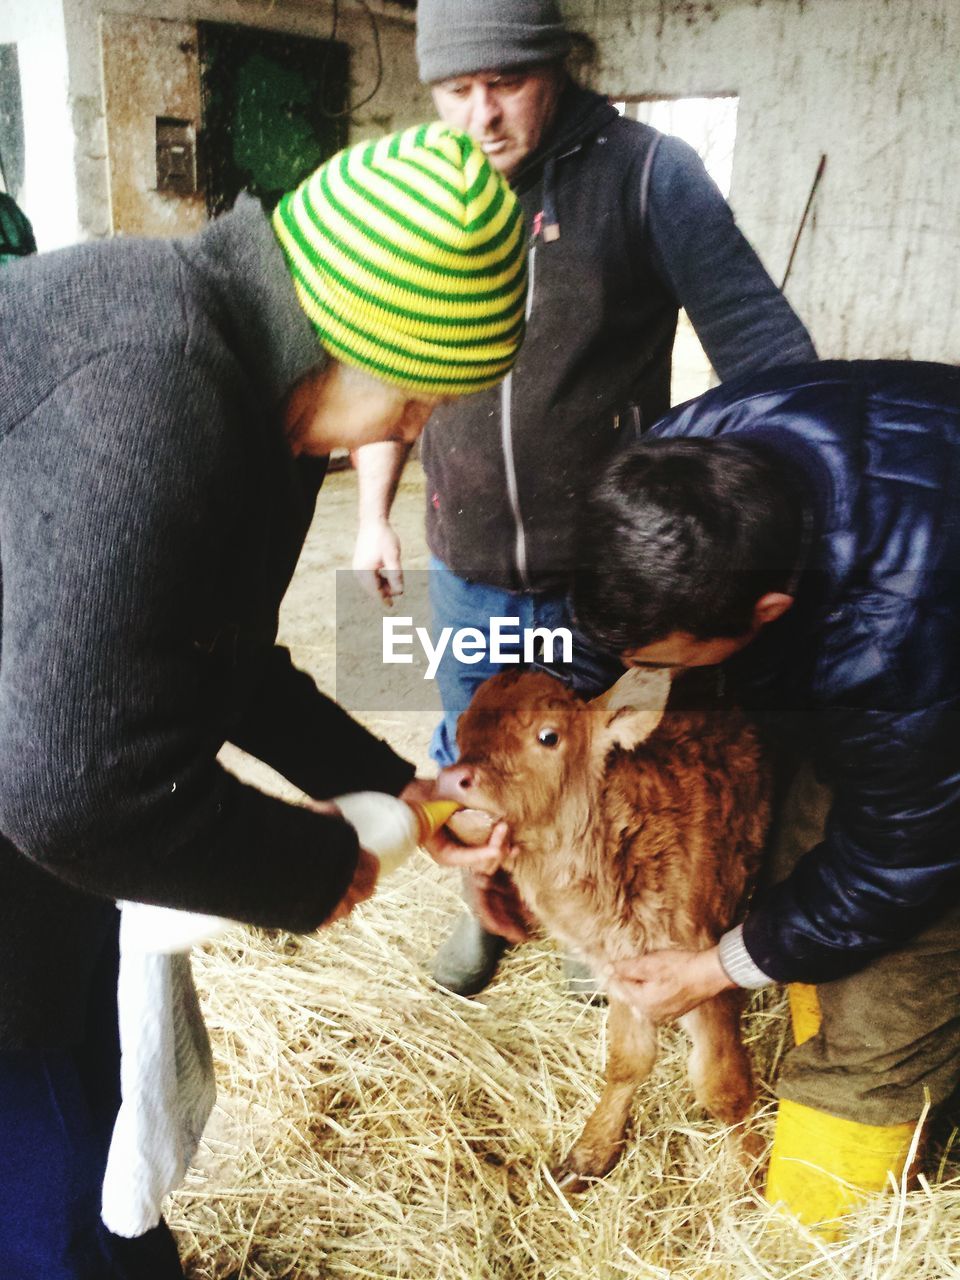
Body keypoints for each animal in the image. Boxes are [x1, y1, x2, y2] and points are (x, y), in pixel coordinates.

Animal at [440, 670, 773, 1187]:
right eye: (461, 731)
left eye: (549, 736)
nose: (453, 780)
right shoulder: (621, 968)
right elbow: (627, 1061)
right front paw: (592, 1150)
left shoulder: (701, 968)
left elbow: (721, 1082)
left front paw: (748, 1168)